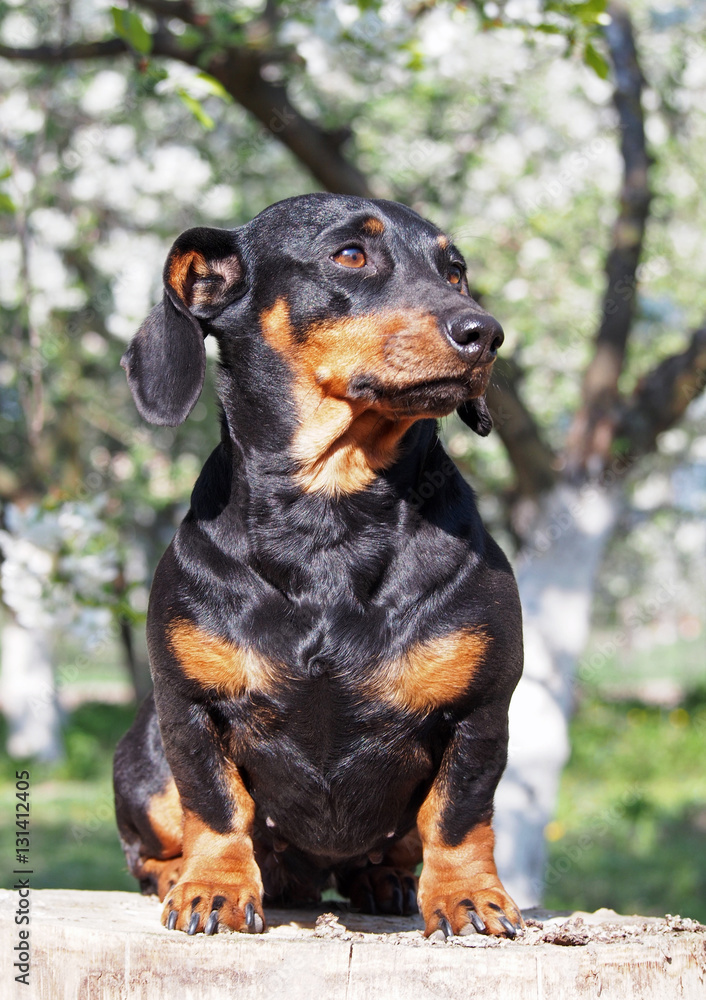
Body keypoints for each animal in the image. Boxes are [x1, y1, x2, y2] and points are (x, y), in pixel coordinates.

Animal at [113, 191, 524, 940]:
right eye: (350, 255)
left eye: (454, 271)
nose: (485, 333)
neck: (330, 517)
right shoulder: (188, 710)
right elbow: (215, 806)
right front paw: (212, 888)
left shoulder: (480, 711)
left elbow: (458, 815)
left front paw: (468, 897)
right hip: (145, 764)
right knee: (155, 844)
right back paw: (181, 875)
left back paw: (382, 880)